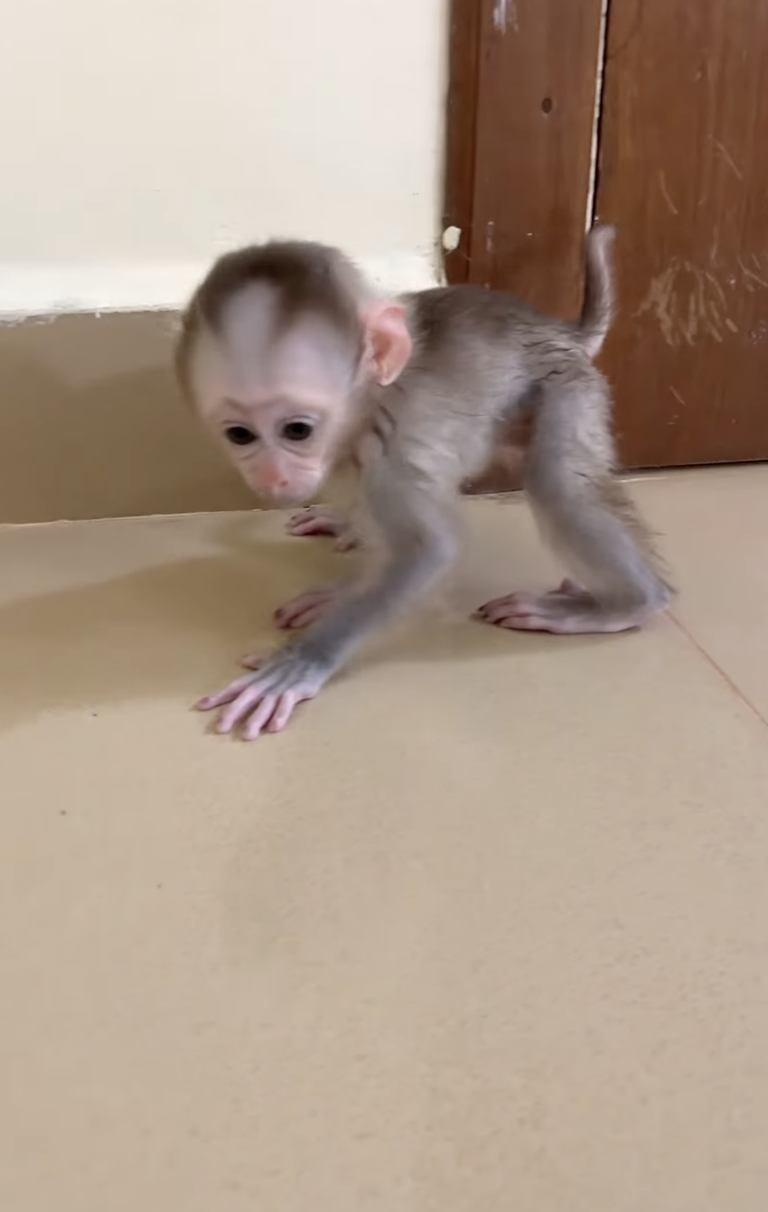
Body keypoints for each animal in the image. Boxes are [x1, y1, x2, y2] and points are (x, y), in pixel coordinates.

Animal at [175, 226, 673, 739]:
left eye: (297, 430)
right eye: (240, 435)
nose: (272, 476)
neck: (370, 402)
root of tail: (560, 331)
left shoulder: (392, 453)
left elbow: (429, 549)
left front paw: (303, 659)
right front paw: (344, 580)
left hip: (566, 386)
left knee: (560, 486)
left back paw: (629, 604)